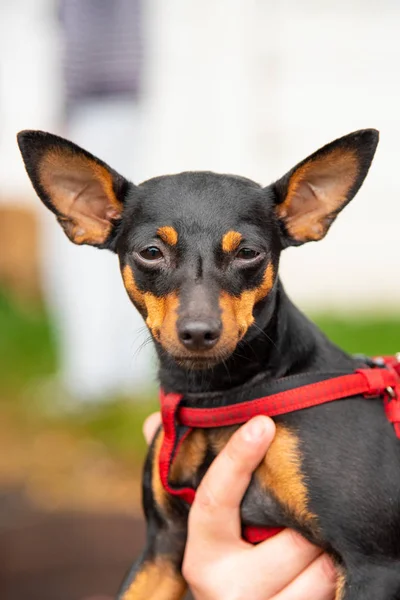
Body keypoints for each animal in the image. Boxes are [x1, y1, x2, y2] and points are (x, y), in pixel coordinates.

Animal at [17, 127, 400, 600]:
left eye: (249, 252)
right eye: (150, 252)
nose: (199, 332)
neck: (219, 395)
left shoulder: (375, 563)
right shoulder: (162, 546)